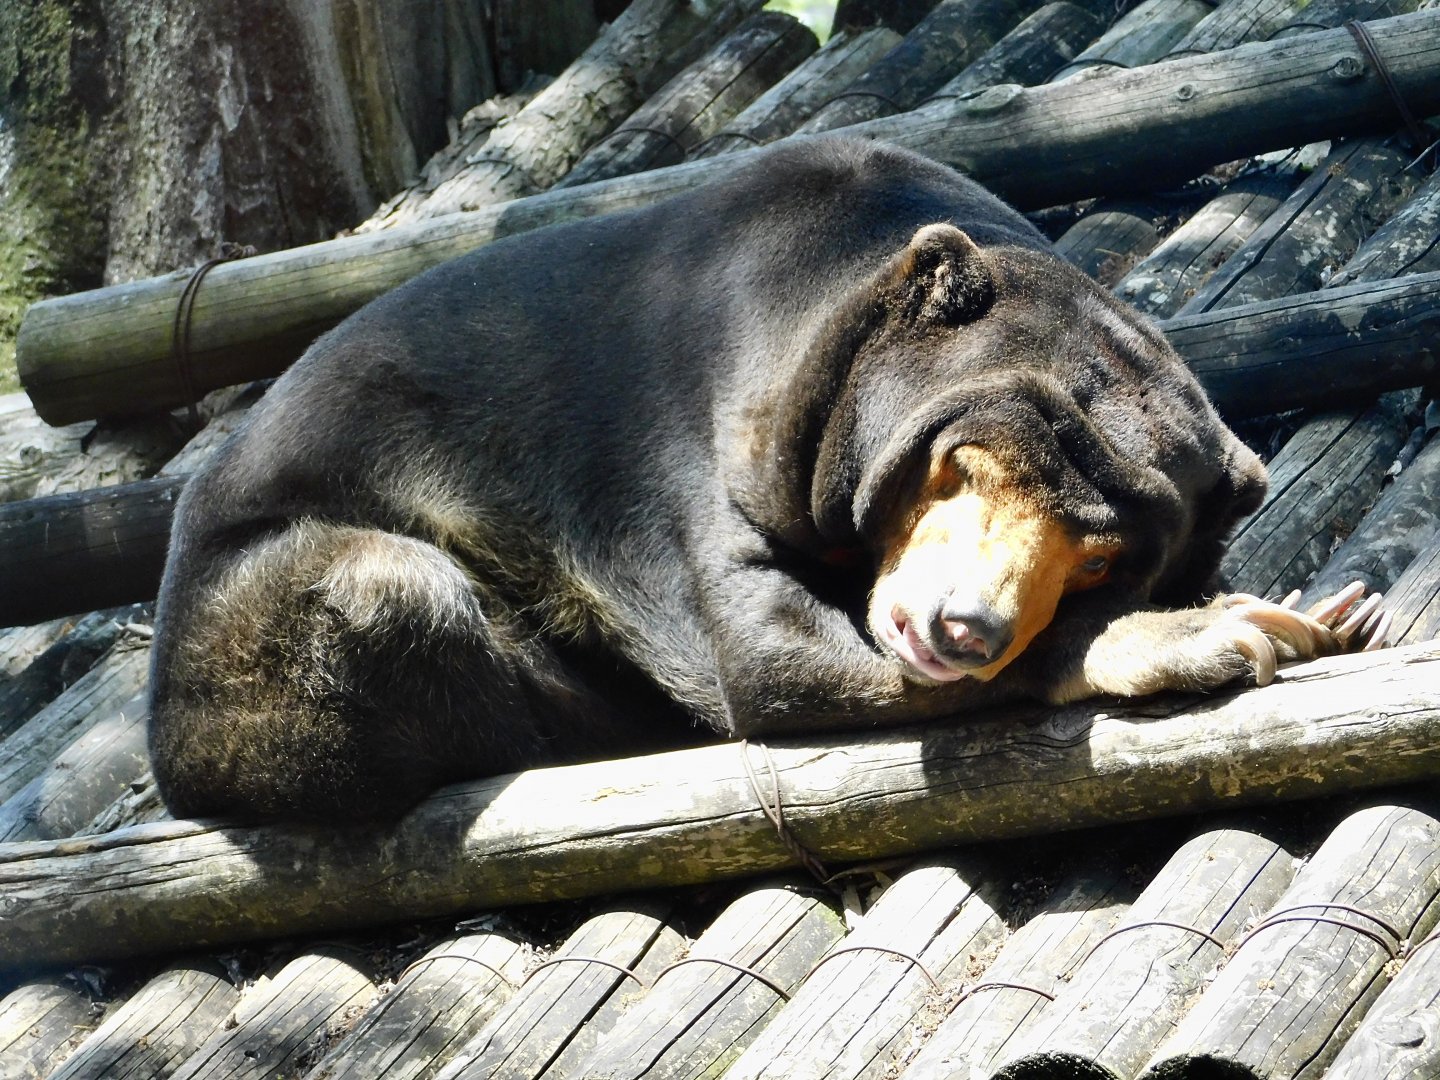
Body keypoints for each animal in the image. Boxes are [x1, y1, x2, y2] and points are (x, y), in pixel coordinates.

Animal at [148, 137, 1375, 823]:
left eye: (1101, 559)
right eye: (966, 464)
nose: (964, 626)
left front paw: (1329, 613)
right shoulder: (688, 443)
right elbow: (766, 657)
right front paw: (1228, 629)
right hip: (257, 637)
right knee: (390, 591)